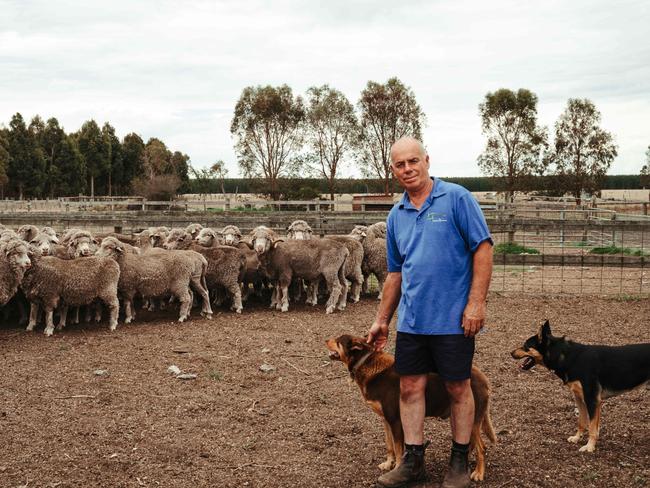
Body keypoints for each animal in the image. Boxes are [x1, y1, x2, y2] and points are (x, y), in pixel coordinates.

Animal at [324, 334, 496, 482]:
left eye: (338, 341)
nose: (325, 340)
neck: (367, 364)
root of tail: (483, 378)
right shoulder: (385, 420)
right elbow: (389, 445)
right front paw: (389, 463)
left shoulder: (395, 421)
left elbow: (398, 449)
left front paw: (397, 469)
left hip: (472, 418)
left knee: (482, 447)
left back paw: (478, 473)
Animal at [512, 320, 648, 454]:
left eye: (525, 346)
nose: (510, 353)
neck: (566, 356)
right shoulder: (579, 398)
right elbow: (582, 422)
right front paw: (577, 438)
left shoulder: (592, 400)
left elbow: (592, 427)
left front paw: (589, 447)